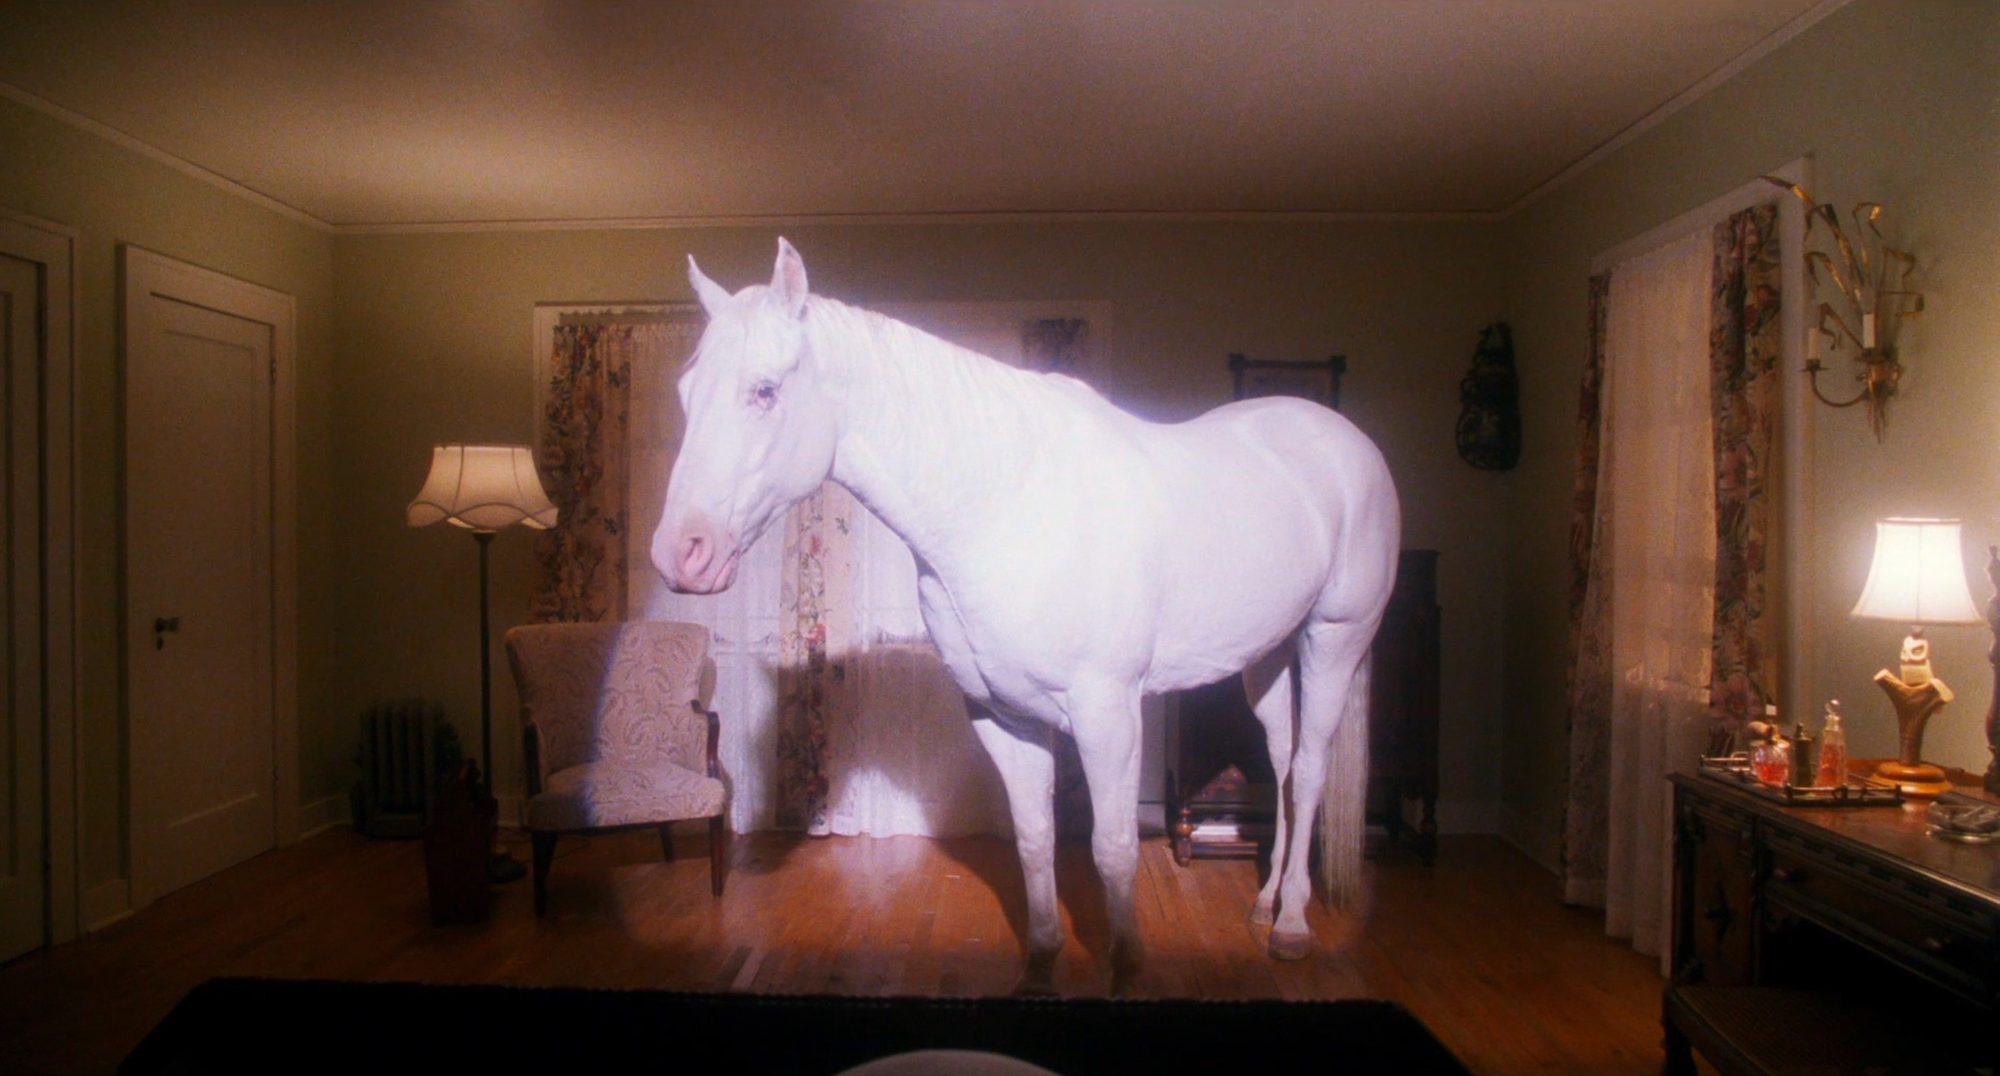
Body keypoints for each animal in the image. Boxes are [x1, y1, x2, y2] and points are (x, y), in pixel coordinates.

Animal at [654, 239, 1400, 991]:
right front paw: (1041, 965)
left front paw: (1128, 968)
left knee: (1311, 767)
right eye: (685, 394)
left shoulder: (1108, 717)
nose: (679, 555)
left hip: (1334, 641)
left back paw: (1293, 926)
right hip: (1267, 658)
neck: (1007, 506)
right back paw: (1266, 903)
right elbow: (1035, 841)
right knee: (1282, 762)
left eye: (764, 390)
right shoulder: (1005, 718)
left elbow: (1113, 848)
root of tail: (1348, 443)